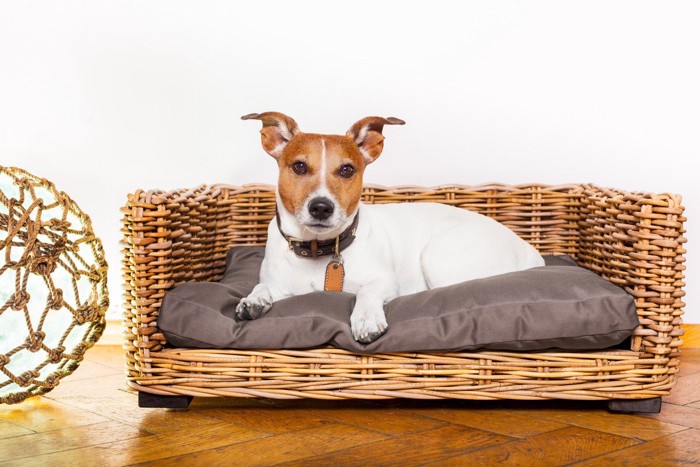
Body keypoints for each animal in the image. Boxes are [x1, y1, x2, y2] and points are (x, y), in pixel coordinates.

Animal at [232, 111, 544, 342]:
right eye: (298, 166)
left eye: (347, 169)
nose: (321, 207)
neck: (318, 248)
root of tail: (527, 249)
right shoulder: (277, 284)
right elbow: (262, 286)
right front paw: (252, 300)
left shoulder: (384, 281)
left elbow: (367, 291)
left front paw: (366, 317)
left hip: (438, 258)